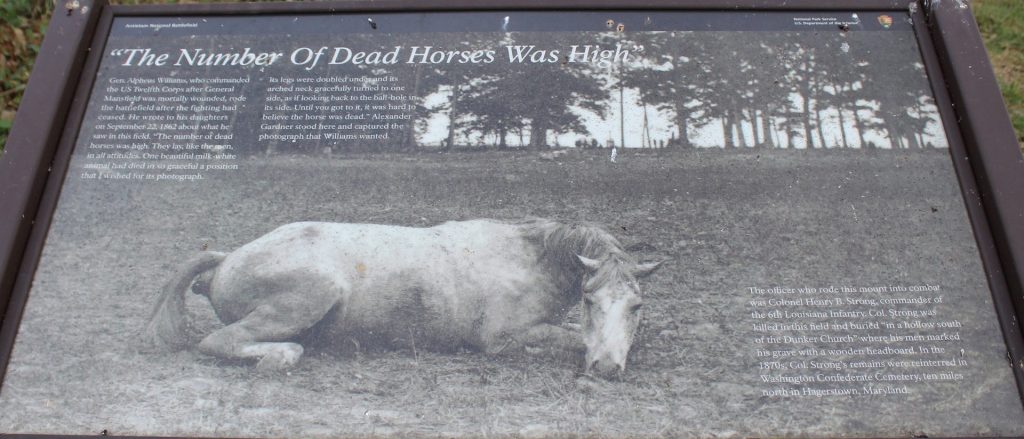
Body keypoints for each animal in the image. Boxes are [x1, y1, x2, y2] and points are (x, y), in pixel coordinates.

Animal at [144, 218, 666, 378]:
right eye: (590, 301)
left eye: (636, 307)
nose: (606, 369)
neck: (526, 258)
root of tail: (229, 258)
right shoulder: (499, 340)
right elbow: (571, 339)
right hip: (310, 295)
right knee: (219, 343)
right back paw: (284, 354)